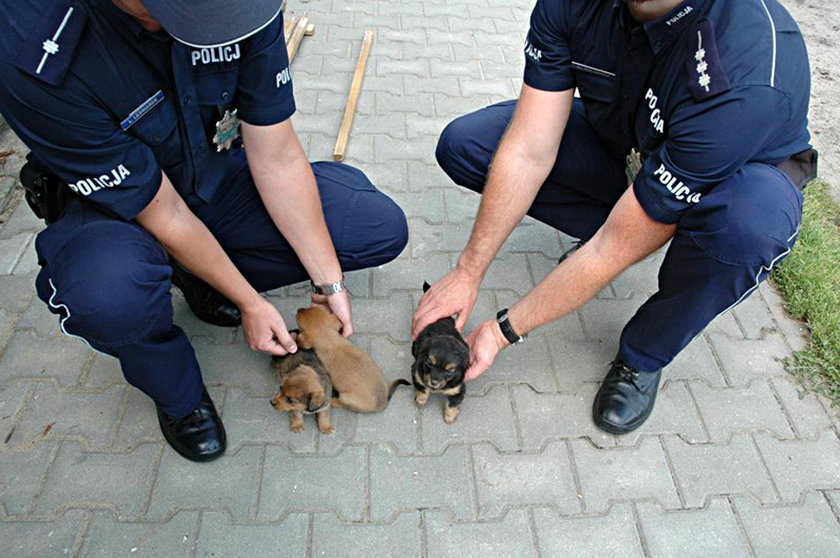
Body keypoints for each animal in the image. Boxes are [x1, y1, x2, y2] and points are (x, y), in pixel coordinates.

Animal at [414, 284, 472, 424]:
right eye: (429, 363)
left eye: (450, 371)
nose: (434, 382)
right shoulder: (417, 372)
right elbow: (422, 387)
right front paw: (420, 400)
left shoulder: (457, 388)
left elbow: (453, 404)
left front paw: (449, 418)